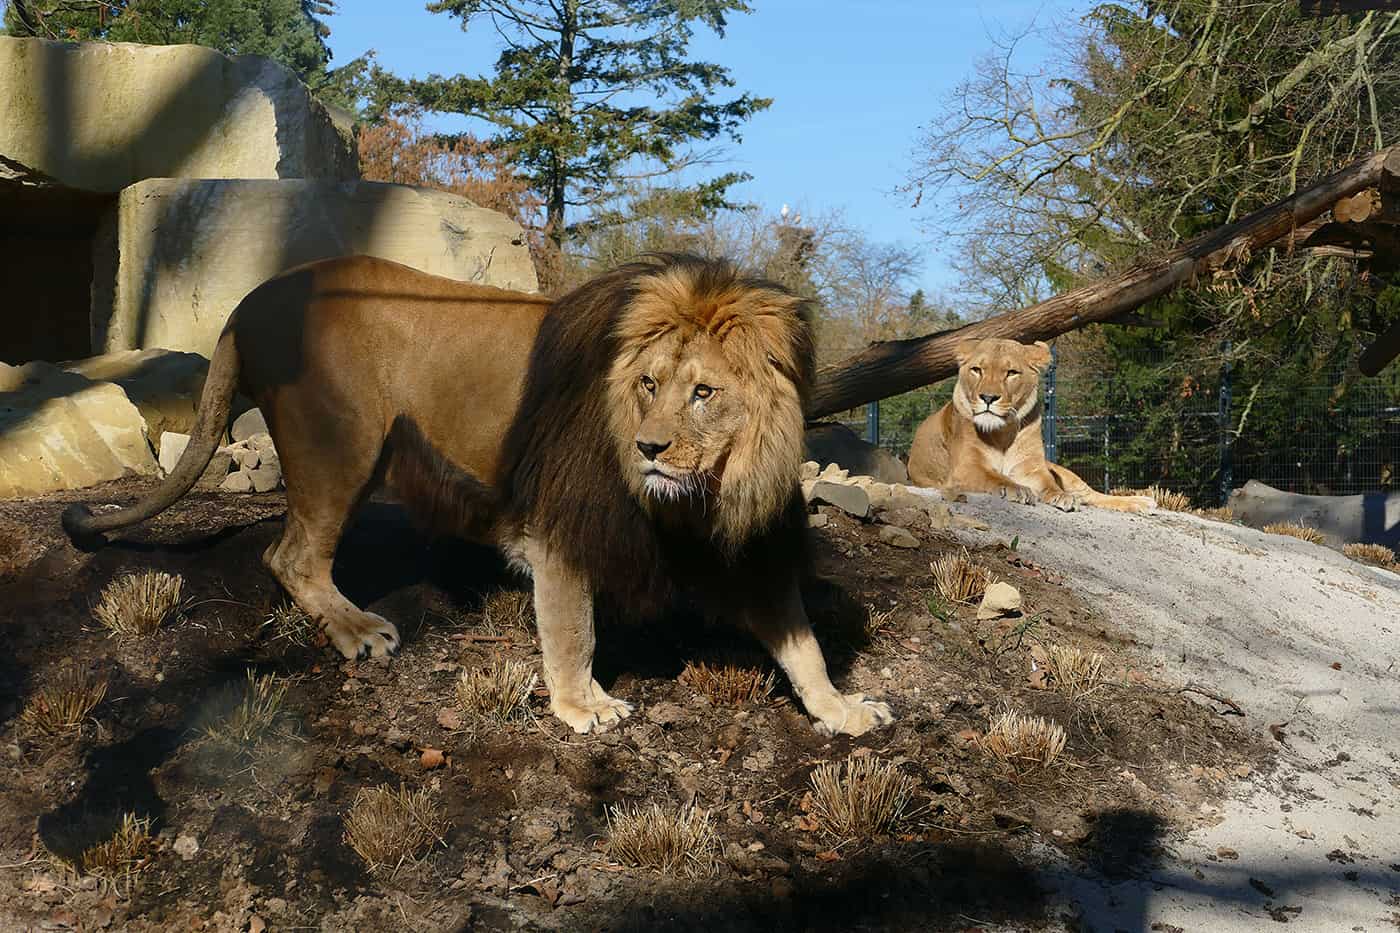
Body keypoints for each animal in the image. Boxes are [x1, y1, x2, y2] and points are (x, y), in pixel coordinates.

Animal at [65, 252, 890, 734]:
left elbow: (803, 643)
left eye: (703, 392)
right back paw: (359, 630)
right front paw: (583, 705)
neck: (706, 492)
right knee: (291, 554)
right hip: (339, 443)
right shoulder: (562, 528)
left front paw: (843, 707)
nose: (649, 448)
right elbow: (573, 630)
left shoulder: (744, 550)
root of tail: (248, 300)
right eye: (650, 384)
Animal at [907, 334, 1159, 509]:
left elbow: (1048, 483)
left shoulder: (1033, 467)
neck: (1002, 433)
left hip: (1064, 472)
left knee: (1092, 495)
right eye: (977, 370)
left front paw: (1061, 495)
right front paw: (1019, 490)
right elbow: (995, 477)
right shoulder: (965, 467)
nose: (988, 397)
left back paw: (1141, 502)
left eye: (1011, 372)